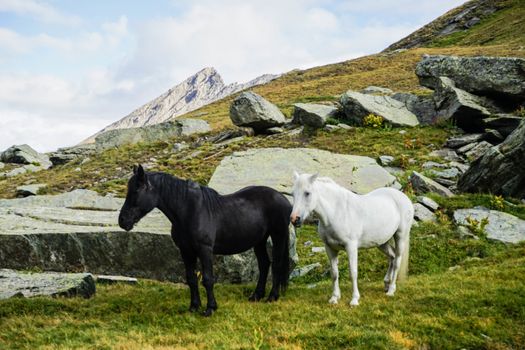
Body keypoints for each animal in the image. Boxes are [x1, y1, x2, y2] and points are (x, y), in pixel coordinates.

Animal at [117, 165, 290, 316]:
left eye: (137, 190)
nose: (122, 221)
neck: (190, 211)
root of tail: (284, 199)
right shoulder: (186, 251)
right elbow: (191, 279)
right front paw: (194, 307)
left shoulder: (204, 250)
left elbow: (207, 279)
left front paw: (210, 309)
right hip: (259, 241)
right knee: (264, 264)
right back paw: (256, 296)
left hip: (278, 235)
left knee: (277, 264)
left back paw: (272, 297)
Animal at [288, 173, 412, 306]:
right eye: (293, 194)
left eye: (307, 193)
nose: (294, 219)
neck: (336, 212)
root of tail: (403, 197)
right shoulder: (330, 248)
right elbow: (334, 273)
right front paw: (334, 298)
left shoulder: (351, 247)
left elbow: (353, 273)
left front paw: (354, 300)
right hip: (382, 242)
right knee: (392, 257)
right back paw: (386, 284)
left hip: (400, 236)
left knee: (397, 261)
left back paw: (391, 290)